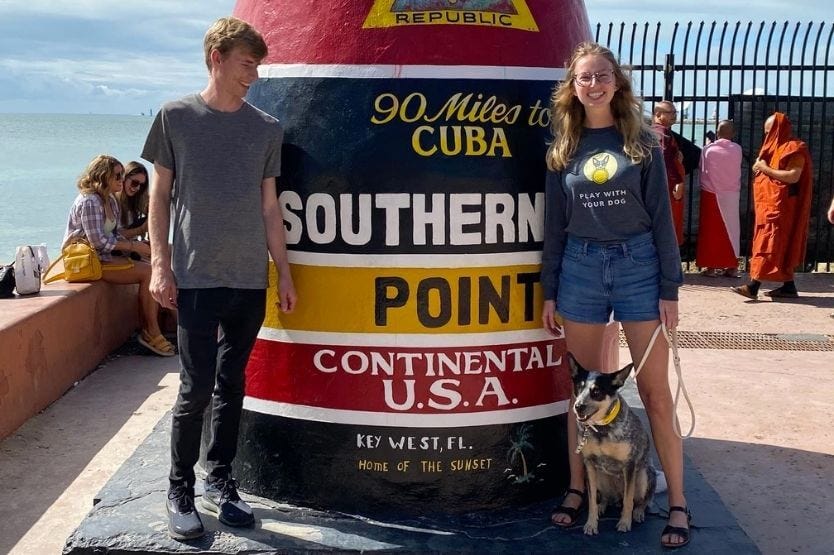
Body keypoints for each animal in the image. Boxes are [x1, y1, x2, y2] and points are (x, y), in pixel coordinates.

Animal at [564, 354, 656, 536]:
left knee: (641, 500)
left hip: (643, 476)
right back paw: (602, 506)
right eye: (578, 387)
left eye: (597, 392)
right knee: (606, 497)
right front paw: (591, 523)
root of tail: (616, 497)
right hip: (600, 477)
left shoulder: (629, 465)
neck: (601, 429)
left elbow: (628, 500)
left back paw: (638, 512)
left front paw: (625, 522)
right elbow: (591, 500)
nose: (578, 406)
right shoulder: (589, 464)